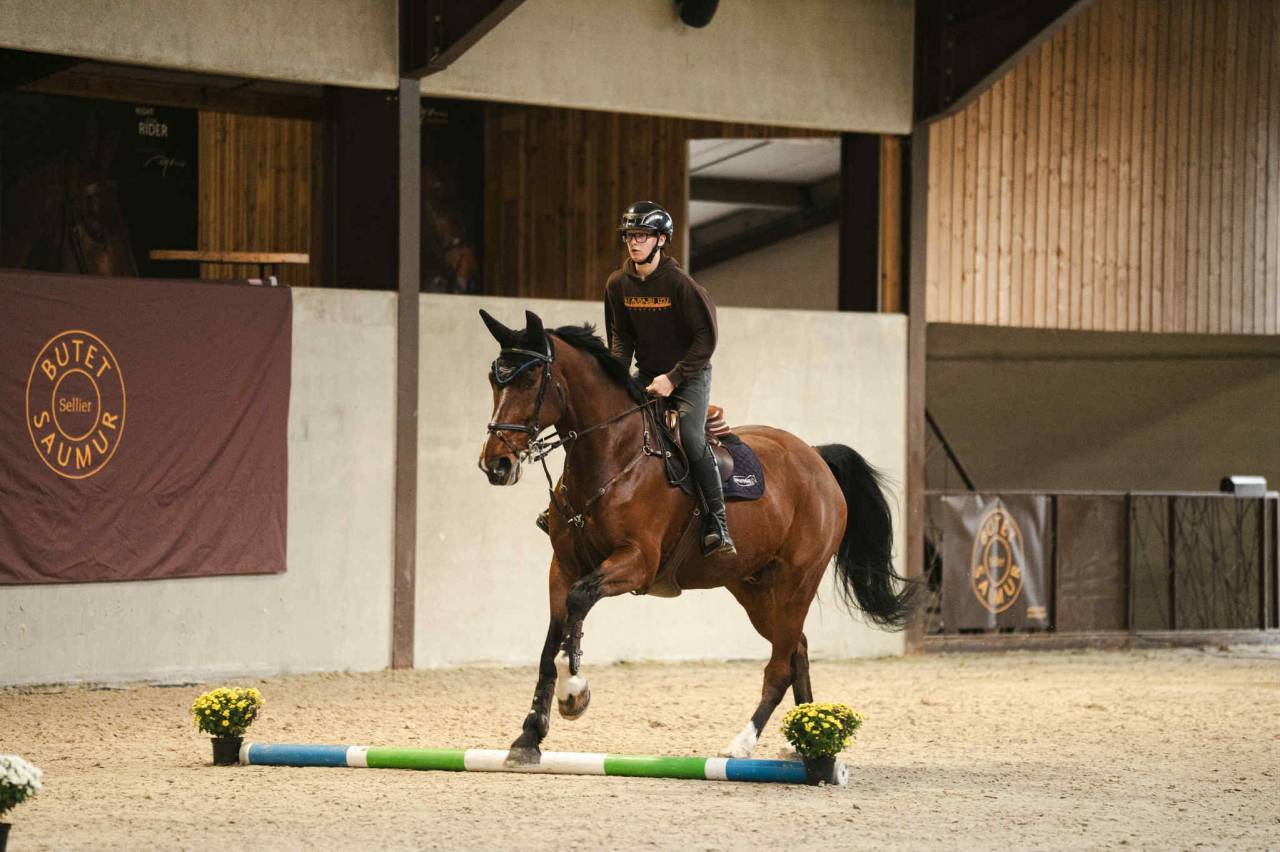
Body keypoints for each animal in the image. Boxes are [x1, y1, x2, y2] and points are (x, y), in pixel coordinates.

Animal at [478, 309, 916, 763]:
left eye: (531, 380)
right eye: (494, 378)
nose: (496, 464)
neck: (613, 456)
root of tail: (815, 458)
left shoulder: (636, 563)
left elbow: (579, 604)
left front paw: (574, 692)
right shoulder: (563, 566)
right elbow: (551, 644)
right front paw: (529, 736)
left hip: (797, 582)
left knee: (780, 665)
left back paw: (743, 744)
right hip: (755, 590)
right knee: (797, 650)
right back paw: (811, 745)